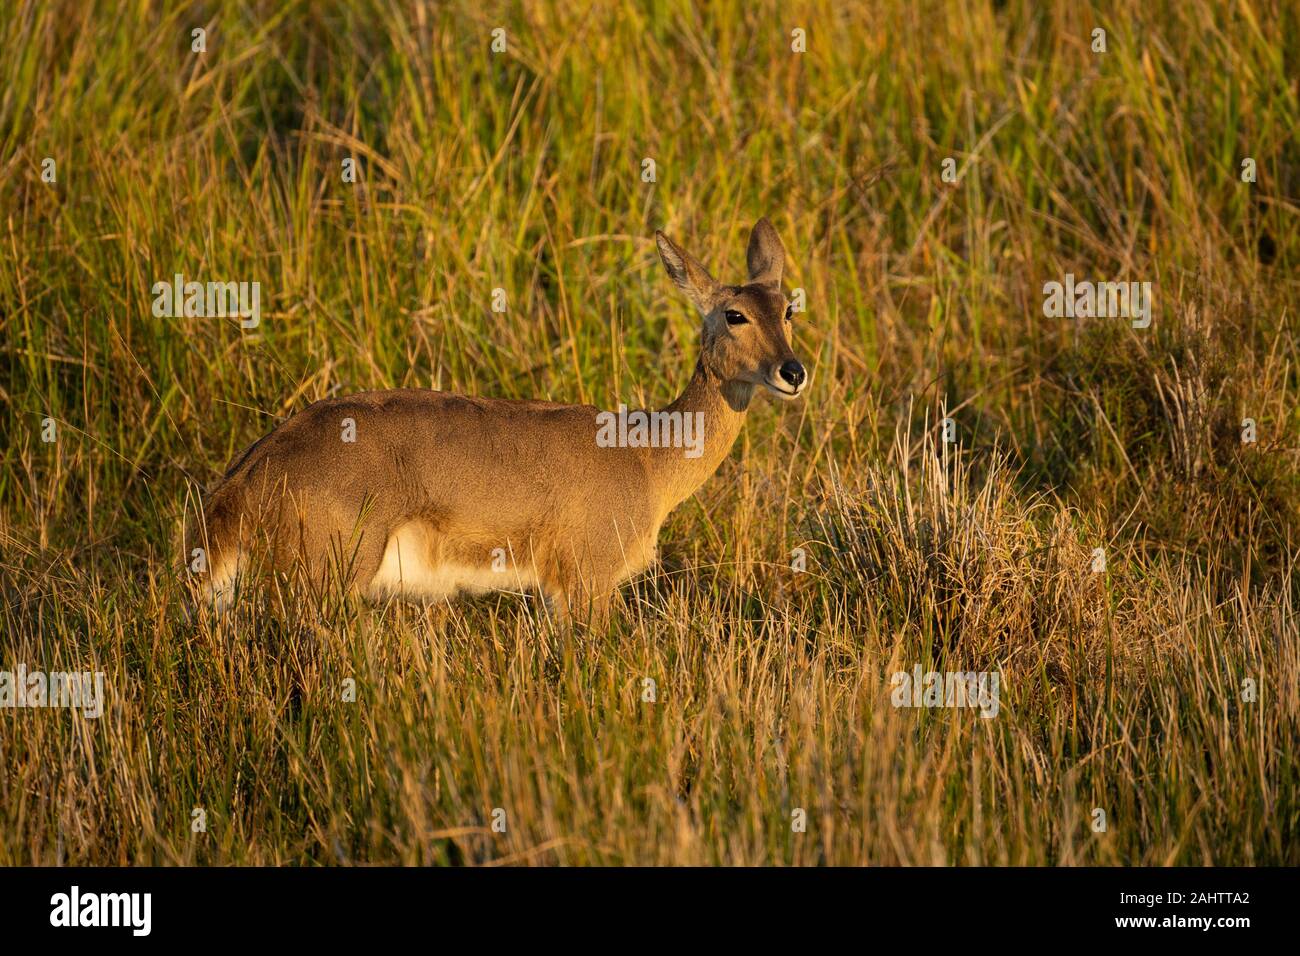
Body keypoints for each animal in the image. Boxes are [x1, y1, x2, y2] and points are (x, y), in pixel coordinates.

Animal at [188, 221, 806, 629]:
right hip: (327, 579)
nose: (793, 371)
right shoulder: (586, 578)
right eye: (734, 314)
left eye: (788, 308)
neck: (648, 456)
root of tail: (238, 485)